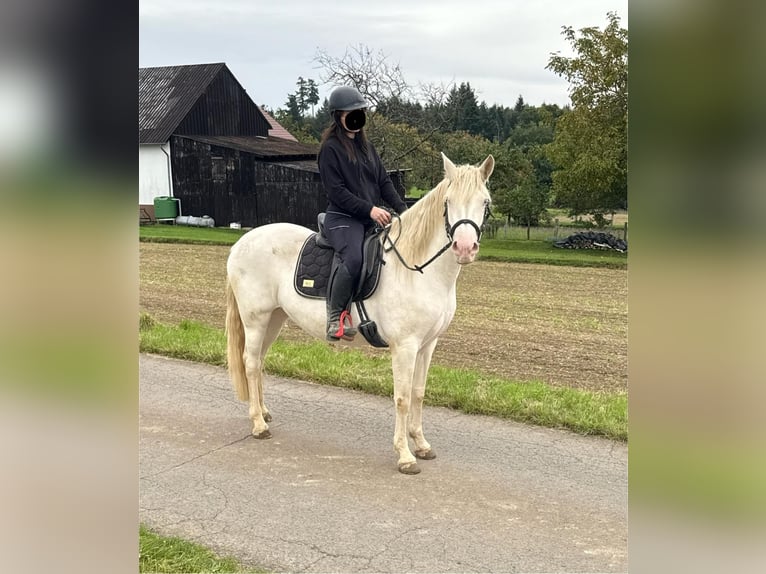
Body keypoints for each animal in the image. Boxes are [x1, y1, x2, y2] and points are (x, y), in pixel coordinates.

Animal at [225, 152, 494, 474]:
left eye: (484, 201)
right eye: (448, 202)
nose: (464, 248)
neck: (416, 269)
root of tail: (241, 244)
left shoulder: (428, 345)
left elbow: (418, 393)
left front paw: (421, 444)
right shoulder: (405, 347)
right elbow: (403, 398)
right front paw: (405, 455)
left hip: (275, 319)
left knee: (260, 362)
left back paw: (264, 413)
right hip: (256, 319)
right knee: (251, 363)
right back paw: (258, 425)